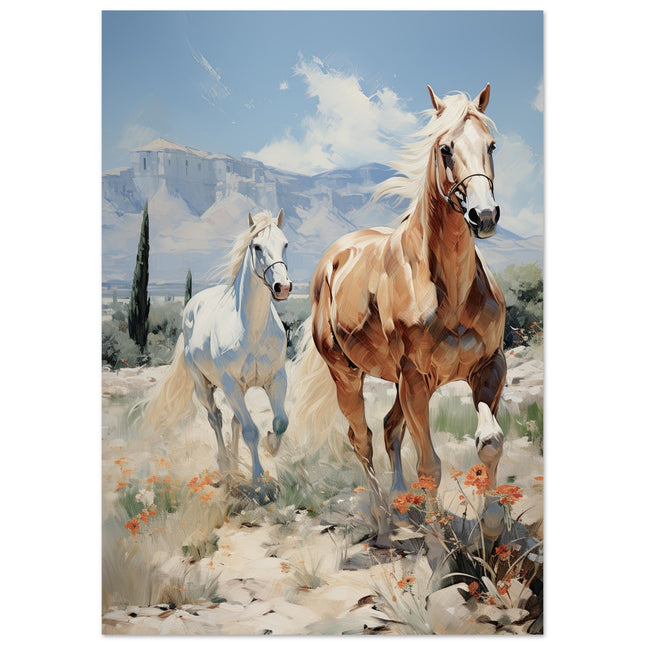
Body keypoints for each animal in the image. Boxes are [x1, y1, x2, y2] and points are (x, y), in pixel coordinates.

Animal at [142, 209, 292, 501]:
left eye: (285, 244)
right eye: (257, 247)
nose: (283, 287)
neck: (251, 328)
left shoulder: (276, 379)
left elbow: (280, 421)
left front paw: (271, 444)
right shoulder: (231, 384)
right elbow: (250, 430)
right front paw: (259, 482)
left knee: (233, 421)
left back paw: (235, 463)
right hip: (205, 385)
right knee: (217, 419)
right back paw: (225, 468)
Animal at [295, 85, 507, 537]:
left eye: (491, 145)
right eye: (445, 149)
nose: (484, 215)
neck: (451, 291)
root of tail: (333, 258)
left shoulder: (489, 368)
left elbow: (490, 442)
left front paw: (493, 522)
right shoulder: (415, 380)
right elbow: (430, 467)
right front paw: (437, 544)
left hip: (397, 382)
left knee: (390, 429)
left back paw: (399, 506)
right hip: (348, 376)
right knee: (362, 438)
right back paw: (382, 521)